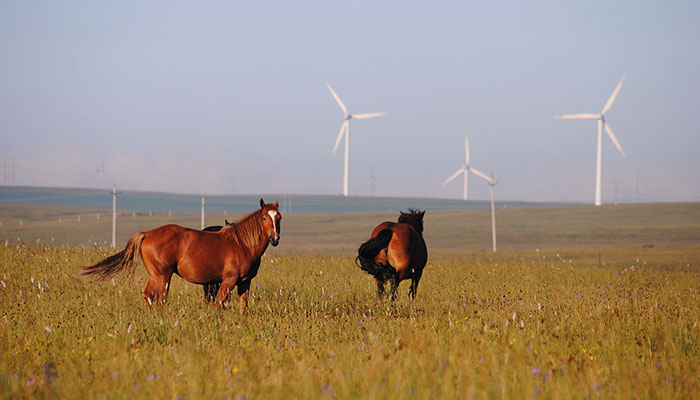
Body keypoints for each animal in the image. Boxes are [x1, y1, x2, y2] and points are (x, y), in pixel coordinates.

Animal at [80, 198, 280, 314]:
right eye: (264, 218)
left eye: (279, 217)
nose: (275, 238)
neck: (242, 244)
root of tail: (147, 233)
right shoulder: (227, 281)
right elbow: (219, 304)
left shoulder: (244, 282)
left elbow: (243, 306)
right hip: (163, 276)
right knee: (159, 300)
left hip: (155, 276)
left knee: (148, 296)